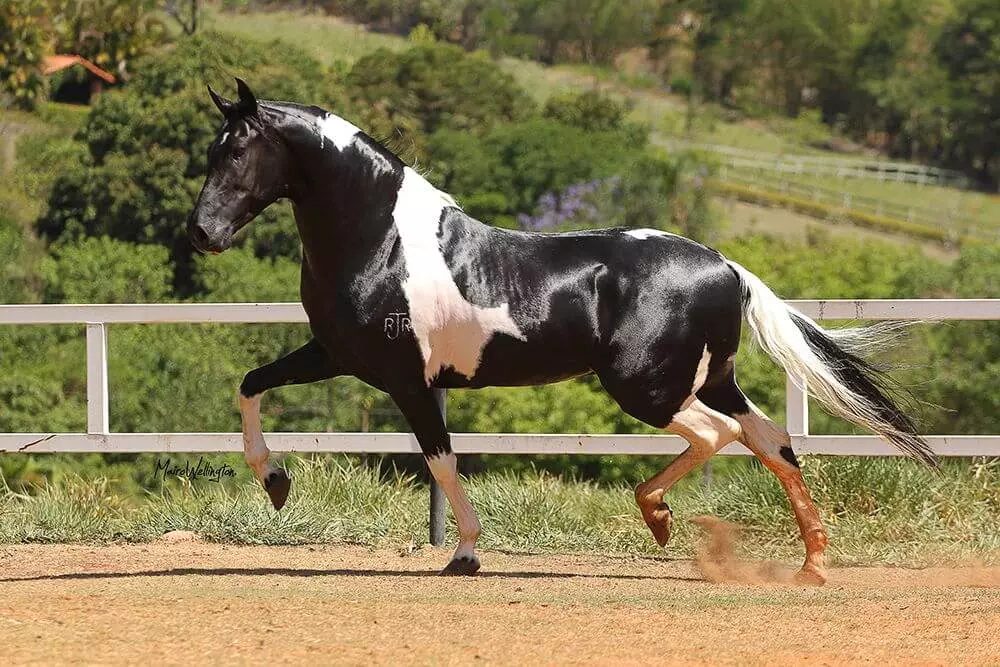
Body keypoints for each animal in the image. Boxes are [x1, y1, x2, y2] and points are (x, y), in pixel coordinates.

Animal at [189, 81, 936, 588]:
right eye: (211, 151)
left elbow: (441, 460)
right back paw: (811, 563)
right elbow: (250, 385)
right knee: (772, 441)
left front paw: (466, 554)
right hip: (709, 379)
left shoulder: (405, 378)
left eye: (239, 153)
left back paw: (661, 518)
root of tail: (725, 264)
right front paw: (275, 482)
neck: (384, 241)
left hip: (648, 388)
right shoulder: (337, 355)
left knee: (717, 435)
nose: (201, 233)